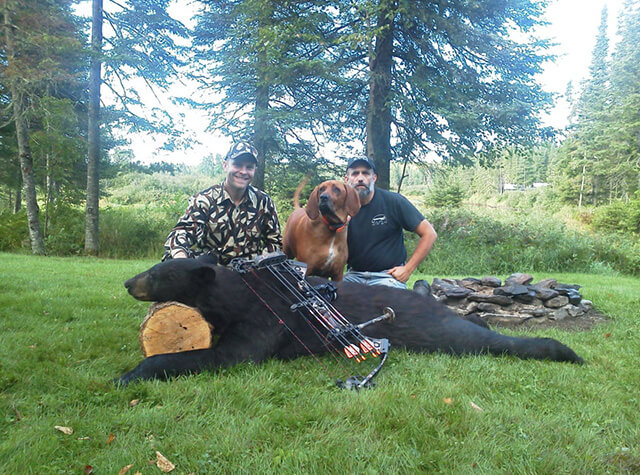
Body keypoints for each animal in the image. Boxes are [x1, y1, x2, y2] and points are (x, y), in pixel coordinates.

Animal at [116, 256, 584, 386]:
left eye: (158, 274)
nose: (127, 281)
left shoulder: (262, 322)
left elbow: (226, 355)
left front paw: (132, 372)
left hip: (430, 329)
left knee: (479, 337)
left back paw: (566, 351)